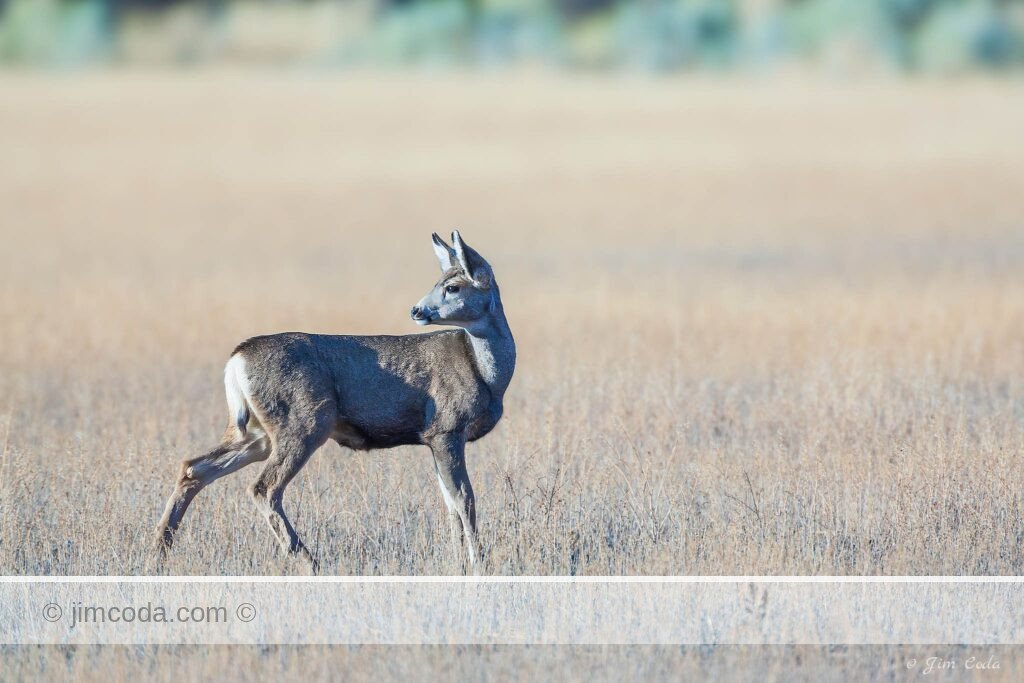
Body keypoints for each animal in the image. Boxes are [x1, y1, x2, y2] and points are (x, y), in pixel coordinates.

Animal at [155, 231, 514, 573]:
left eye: (452, 286)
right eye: (441, 283)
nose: (416, 310)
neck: (486, 373)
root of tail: (236, 360)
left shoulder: (435, 439)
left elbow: (450, 504)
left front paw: (462, 563)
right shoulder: (445, 429)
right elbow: (465, 499)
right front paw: (479, 563)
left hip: (255, 432)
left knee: (194, 467)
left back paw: (160, 549)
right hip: (303, 424)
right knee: (263, 488)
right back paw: (308, 561)